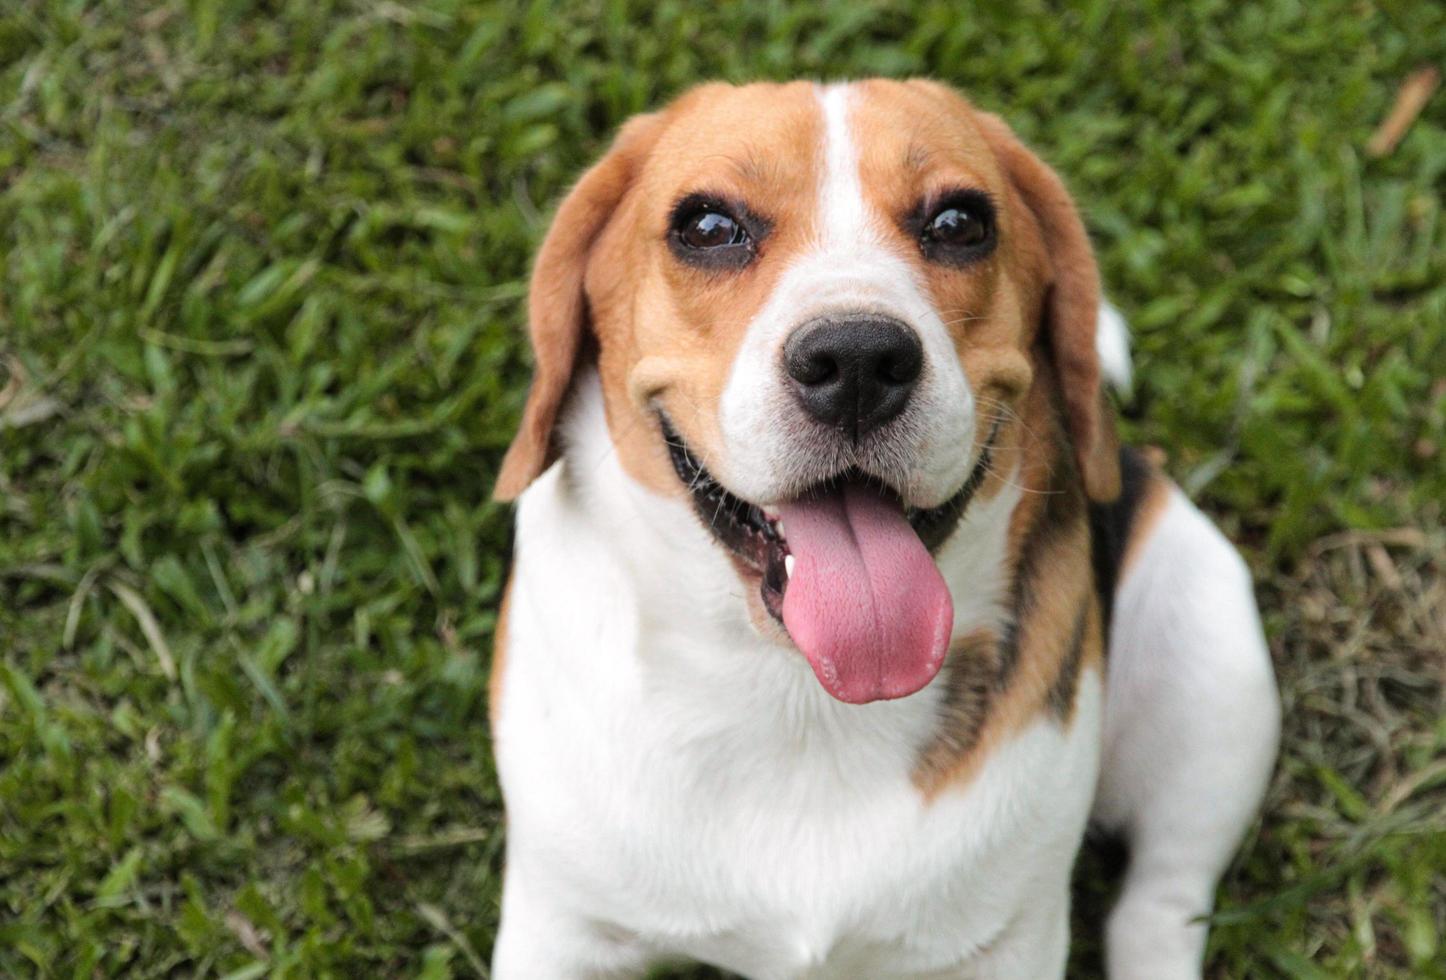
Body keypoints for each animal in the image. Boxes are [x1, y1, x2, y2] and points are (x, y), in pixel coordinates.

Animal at [485, 78, 1278, 980]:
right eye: (708, 227)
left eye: (960, 223)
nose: (857, 359)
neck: (799, 695)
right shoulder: (559, 926)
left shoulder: (1008, 942)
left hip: (1212, 662)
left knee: (1163, 901)